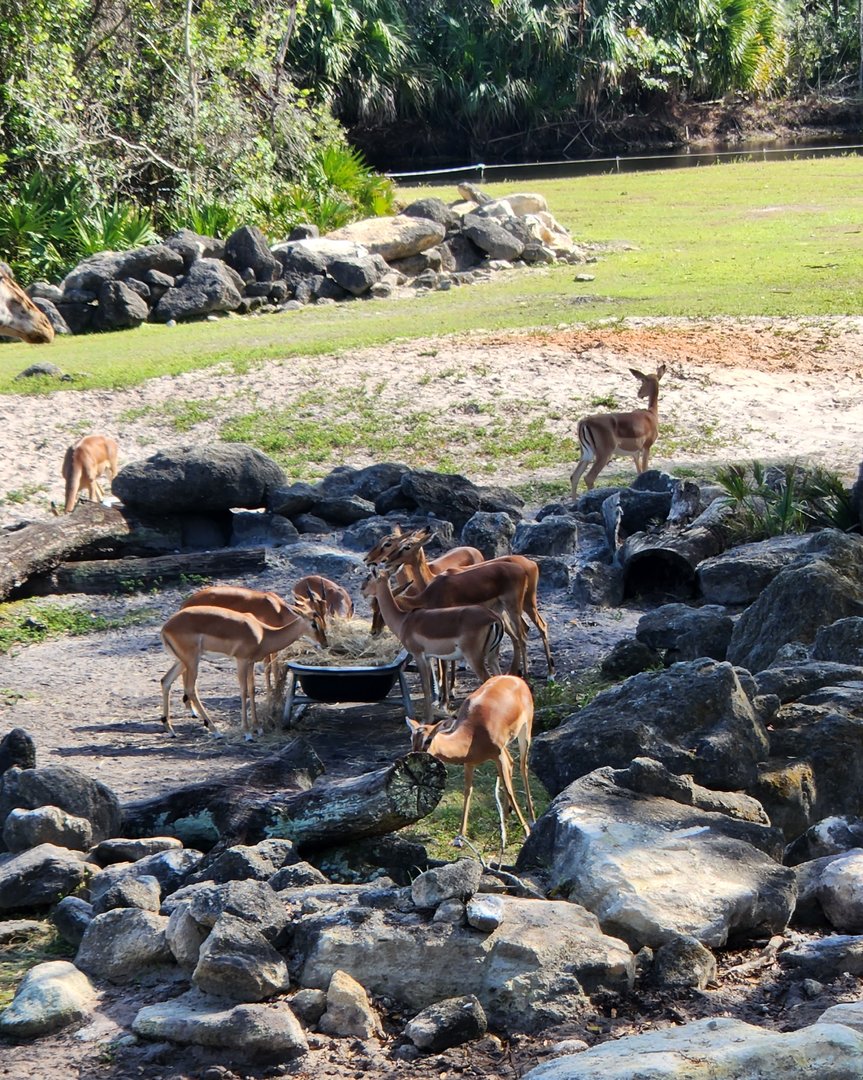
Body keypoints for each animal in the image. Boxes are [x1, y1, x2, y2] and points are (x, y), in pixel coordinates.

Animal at [159, 598, 326, 740]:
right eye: (313, 623)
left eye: (323, 621)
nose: (324, 644)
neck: (262, 633)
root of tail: (166, 627)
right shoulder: (242, 661)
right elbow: (243, 691)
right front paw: (247, 732)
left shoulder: (251, 663)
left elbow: (252, 689)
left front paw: (258, 728)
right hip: (192, 661)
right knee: (190, 689)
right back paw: (215, 730)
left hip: (182, 661)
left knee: (165, 681)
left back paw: (170, 730)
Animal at [362, 566, 504, 725]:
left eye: (369, 577)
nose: (362, 591)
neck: (404, 620)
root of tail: (494, 618)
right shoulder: (429, 657)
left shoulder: (419, 655)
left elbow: (425, 686)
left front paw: (427, 720)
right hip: (492, 657)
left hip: (474, 659)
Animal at [406, 674, 536, 852]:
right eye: (411, 738)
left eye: (428, 740)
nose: (413, 757)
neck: (473, 733)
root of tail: (516, 678)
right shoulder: (470, 762)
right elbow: (467, 792)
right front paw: (459, 838)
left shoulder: (497, 754)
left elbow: (508, 789)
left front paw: (526, 832)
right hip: (506, 748)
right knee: (511, 764)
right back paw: (504, 820)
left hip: (524, 731)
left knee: (523, 767)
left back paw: (531, 820)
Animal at [570, 365, 667, 496]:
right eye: (642, 380)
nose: (639, 394)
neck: (651, 415)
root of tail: (584, 422)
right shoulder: (646, 448)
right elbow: (645, 470)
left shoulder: (635, 453)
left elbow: (639, 473)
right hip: (604, 455)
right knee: (588, 478)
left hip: (586, 454)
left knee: (574, 477)